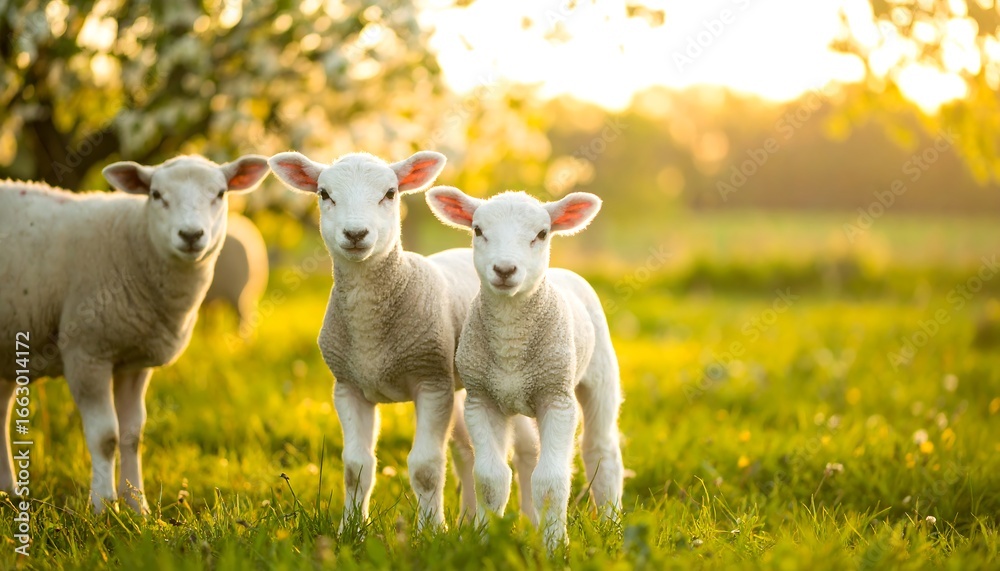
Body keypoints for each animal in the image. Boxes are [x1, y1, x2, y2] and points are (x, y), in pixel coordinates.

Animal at [0, 155, 270, 513]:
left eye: (220, 193)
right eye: (156, 194)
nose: (191, 234)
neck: (132, 240)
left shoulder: (134, 363)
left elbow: (132, 434)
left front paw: (136, 506)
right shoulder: (87, 352)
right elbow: (105, 436)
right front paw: (103, 506)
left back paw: (8, 492)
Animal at [425, 187, 625, 551]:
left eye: (541, 234)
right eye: (478, 230)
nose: (505, 269)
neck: (510, 344)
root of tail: (563, 272)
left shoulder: (556, 398)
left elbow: (550, 480)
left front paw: (555, 547)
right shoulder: (482, 399)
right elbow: (490, 479)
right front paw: (486, 540)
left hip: (599, 373)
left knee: (600, 450)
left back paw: (611, 524)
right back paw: (533, 522)